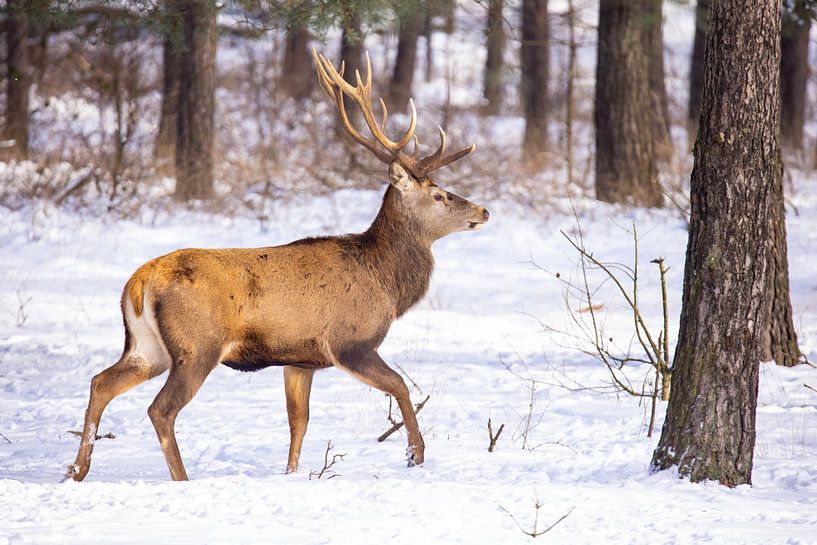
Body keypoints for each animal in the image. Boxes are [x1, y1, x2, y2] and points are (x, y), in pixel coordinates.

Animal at [66, 50, 489, 482]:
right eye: (439, 195)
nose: (483, 211)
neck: (385, 281)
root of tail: (137, 284)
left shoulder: (300, 360)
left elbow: (298, 421)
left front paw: (291, 474)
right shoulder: (350, 341)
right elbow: (401, 386)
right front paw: (415, 455)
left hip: (147, 346)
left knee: (101, 381)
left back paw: (77, 470)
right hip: (196, 345)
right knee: (161, 409)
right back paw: (180, 479)